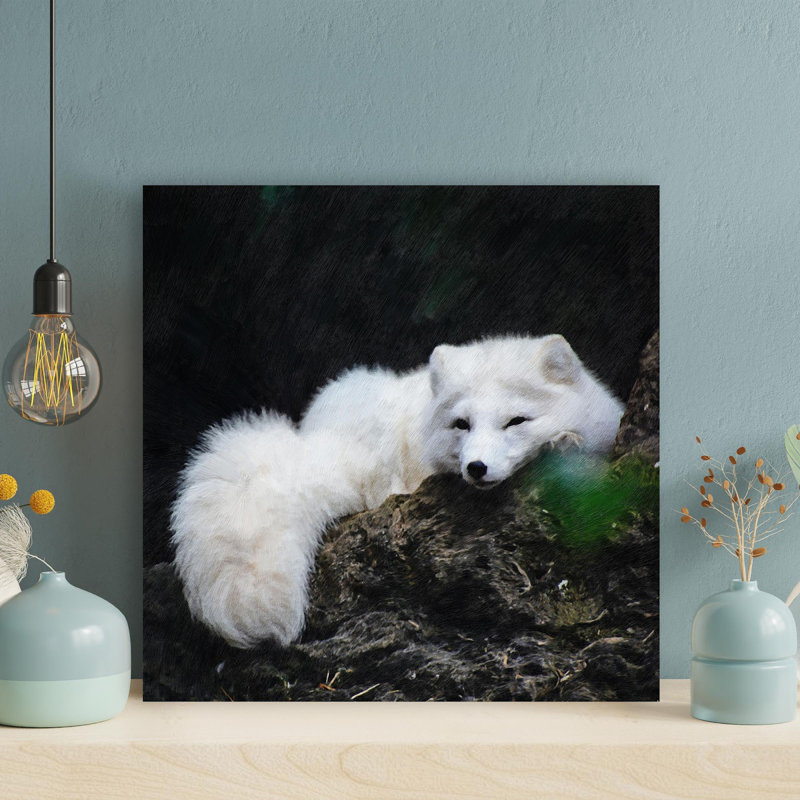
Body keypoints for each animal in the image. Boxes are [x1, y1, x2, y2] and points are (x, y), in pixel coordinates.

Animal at [171, 334, 624, 648]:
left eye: (516, 421)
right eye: (462, 424)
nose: (476, 468)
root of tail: (322, 436)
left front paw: (564, 441)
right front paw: (562, 443)